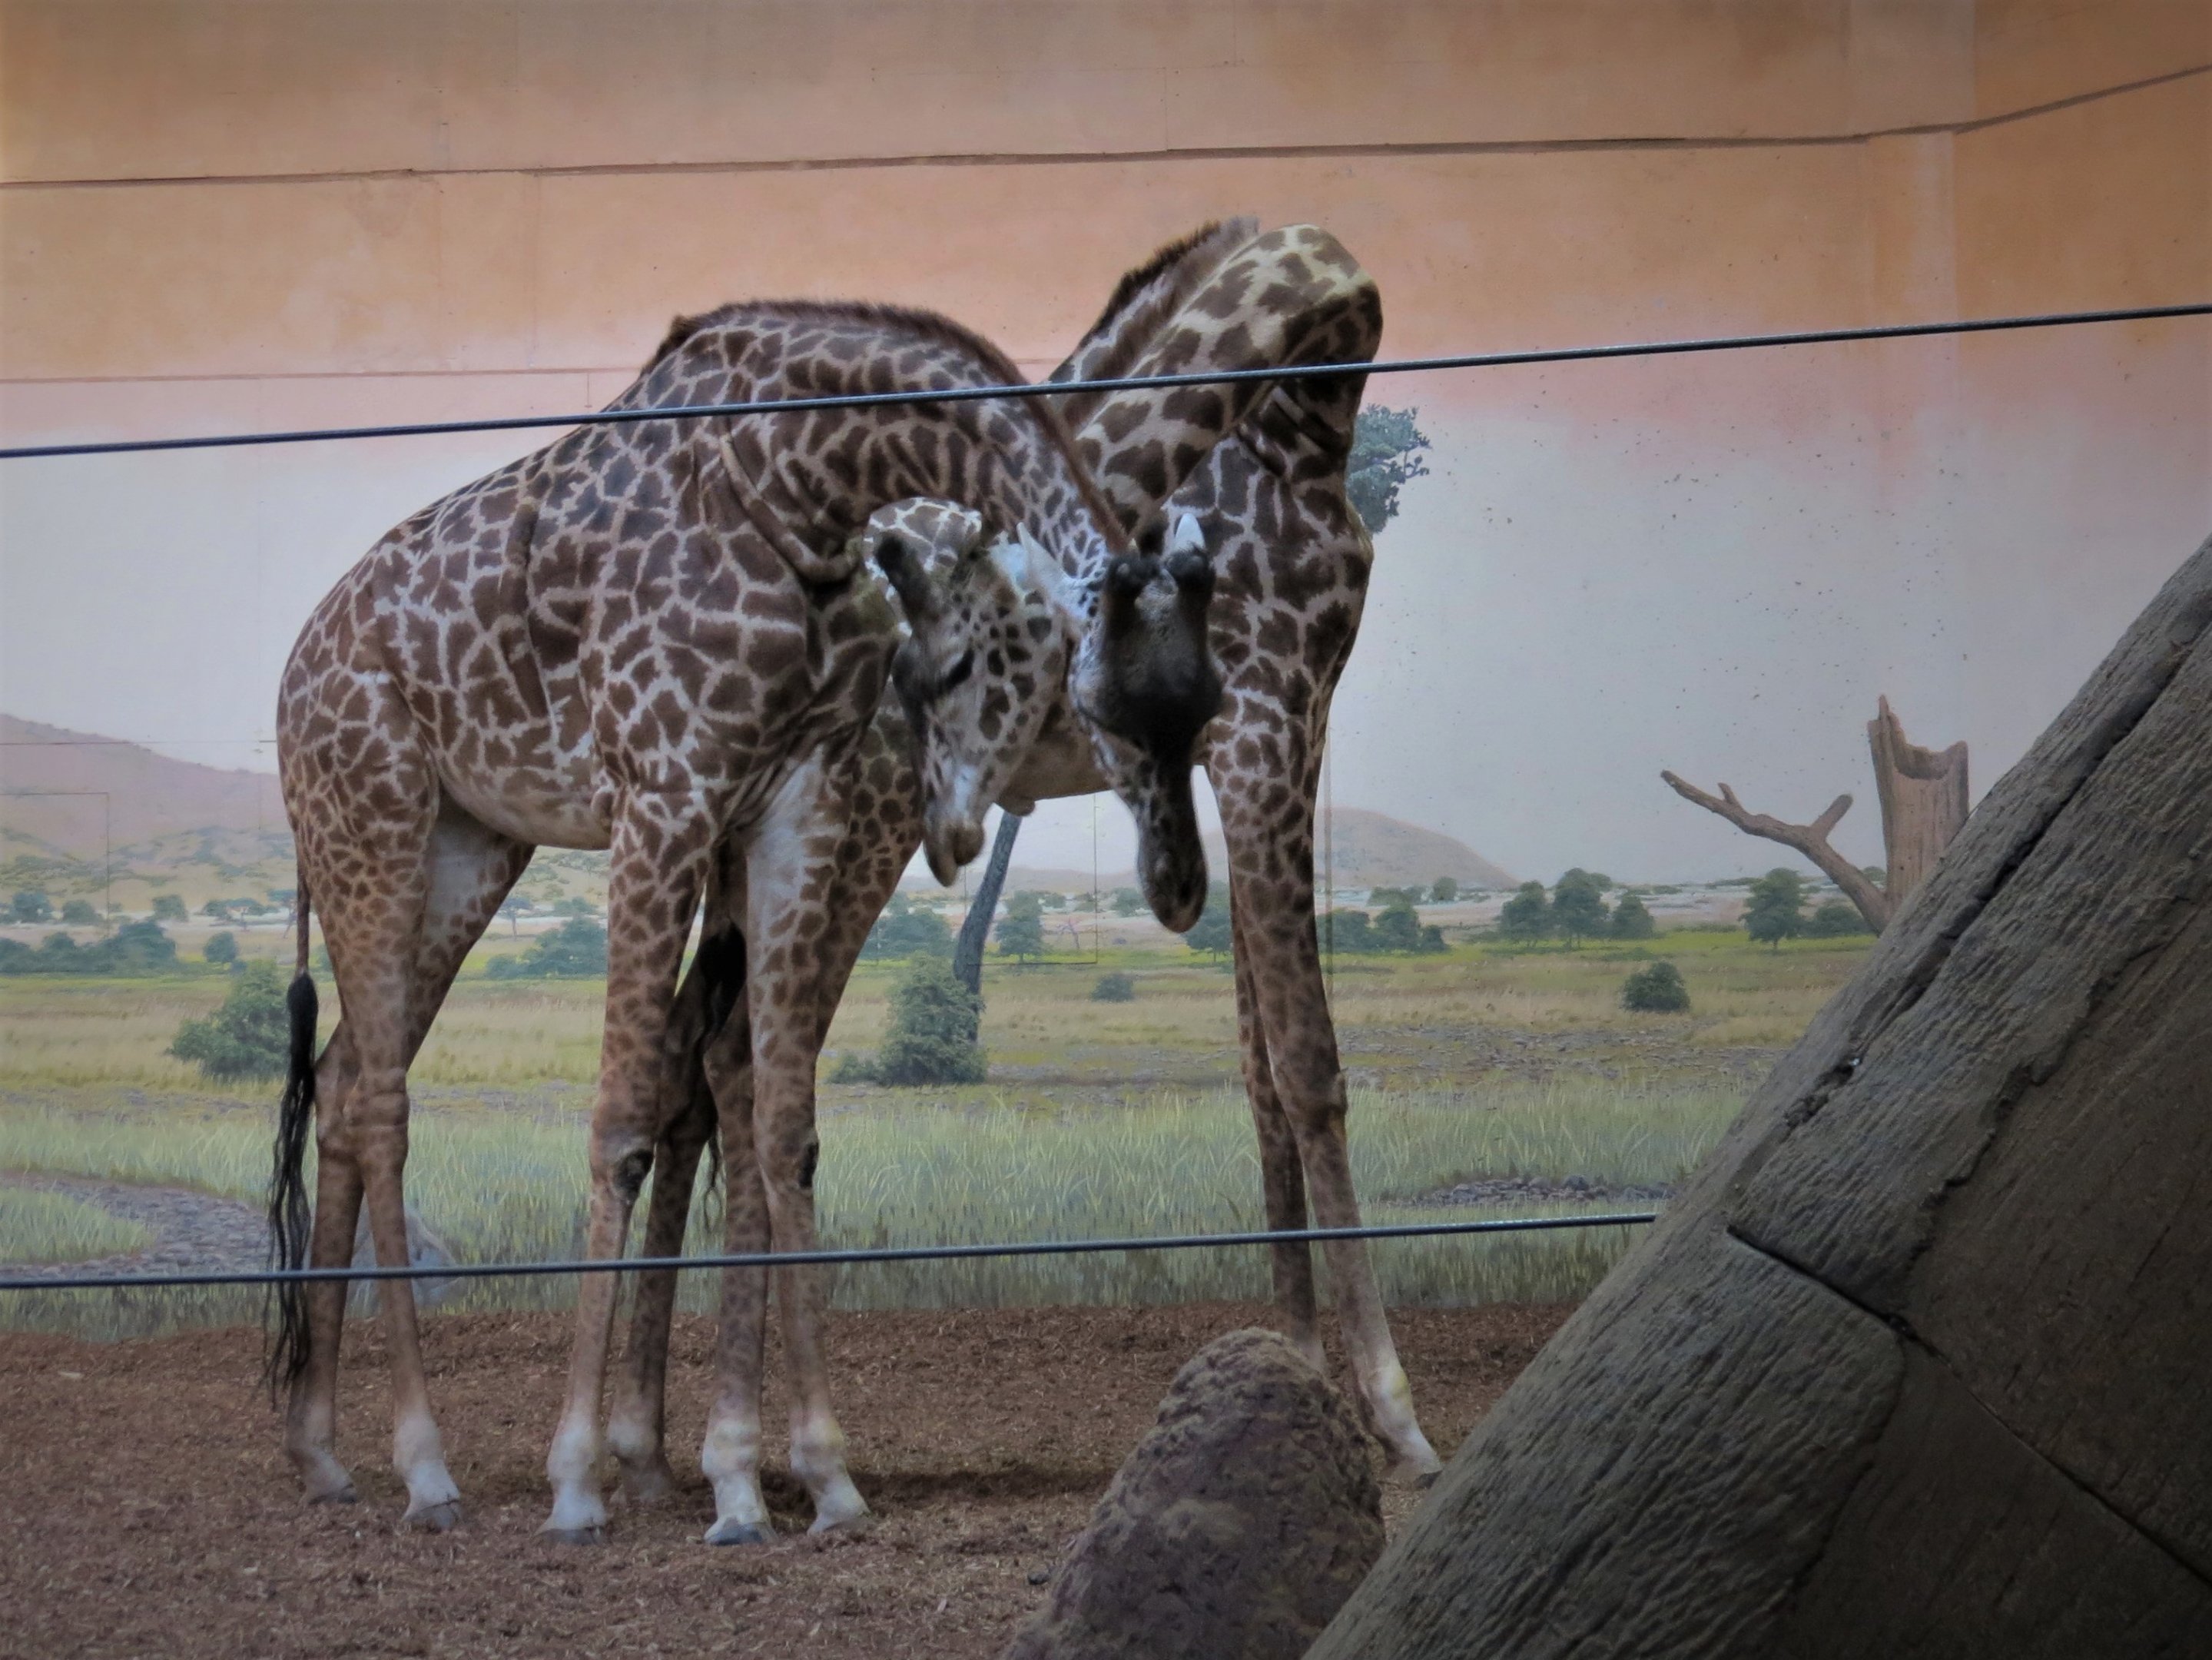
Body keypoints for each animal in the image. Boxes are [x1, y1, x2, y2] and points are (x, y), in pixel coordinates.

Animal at [266, 299, 1227, 1538]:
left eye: (1210, 699)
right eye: (1088, 693)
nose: (1179, 887)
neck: (801, 485)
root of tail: (291, 680)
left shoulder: (789, 802)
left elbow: (782, 1125)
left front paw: (815, 1477)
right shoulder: (664, 794)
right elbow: (623, 1120)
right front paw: (576, 1477)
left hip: (467, 847)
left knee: (343, 1077)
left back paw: (322, 1453)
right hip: (370, 817)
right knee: (382, 1102)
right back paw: (427, 1468)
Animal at [604, 222, 1442, 1545]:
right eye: (1086, 677)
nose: (1169, 897)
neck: (1305, 423)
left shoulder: (1275, 729)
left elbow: (1259, 1070)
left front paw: (1286, 1377)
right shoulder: (1266, 722)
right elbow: (1310, 1067)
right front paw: (1393, 1418)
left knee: (696, 1061)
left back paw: (652, 1448)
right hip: (848, 841)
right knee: (742, 1065)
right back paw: (755, 1457)